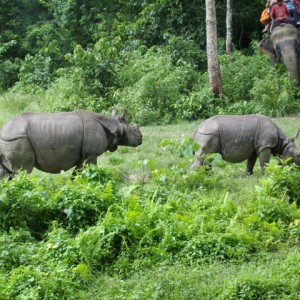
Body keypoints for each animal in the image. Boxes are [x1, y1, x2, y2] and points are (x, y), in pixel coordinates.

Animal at [0, 109, 143, 177]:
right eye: (133, 130)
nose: (141, 138)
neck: (115, 126)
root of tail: (3, 130)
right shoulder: (90, 154)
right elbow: (84, 172)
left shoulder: (84, 155)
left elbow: (77, 174)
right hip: (17, 140)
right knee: (22, 172)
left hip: (9, 141)